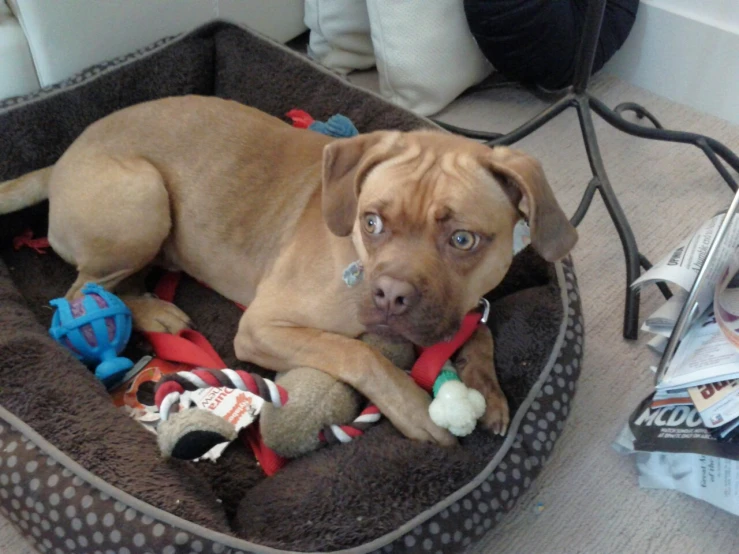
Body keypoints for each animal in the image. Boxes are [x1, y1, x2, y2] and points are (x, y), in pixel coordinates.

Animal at [0, 95, 576, 444]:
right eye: (371, 221)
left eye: (462, 239)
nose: (389, 296)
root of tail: (62, 159)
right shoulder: (260, 328)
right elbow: (358, 352)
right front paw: (414, 407)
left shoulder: (461, 308)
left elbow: (477, 331)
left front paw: (487, 387)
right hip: (141, 198)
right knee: (86, 290)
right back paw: (150, 313)